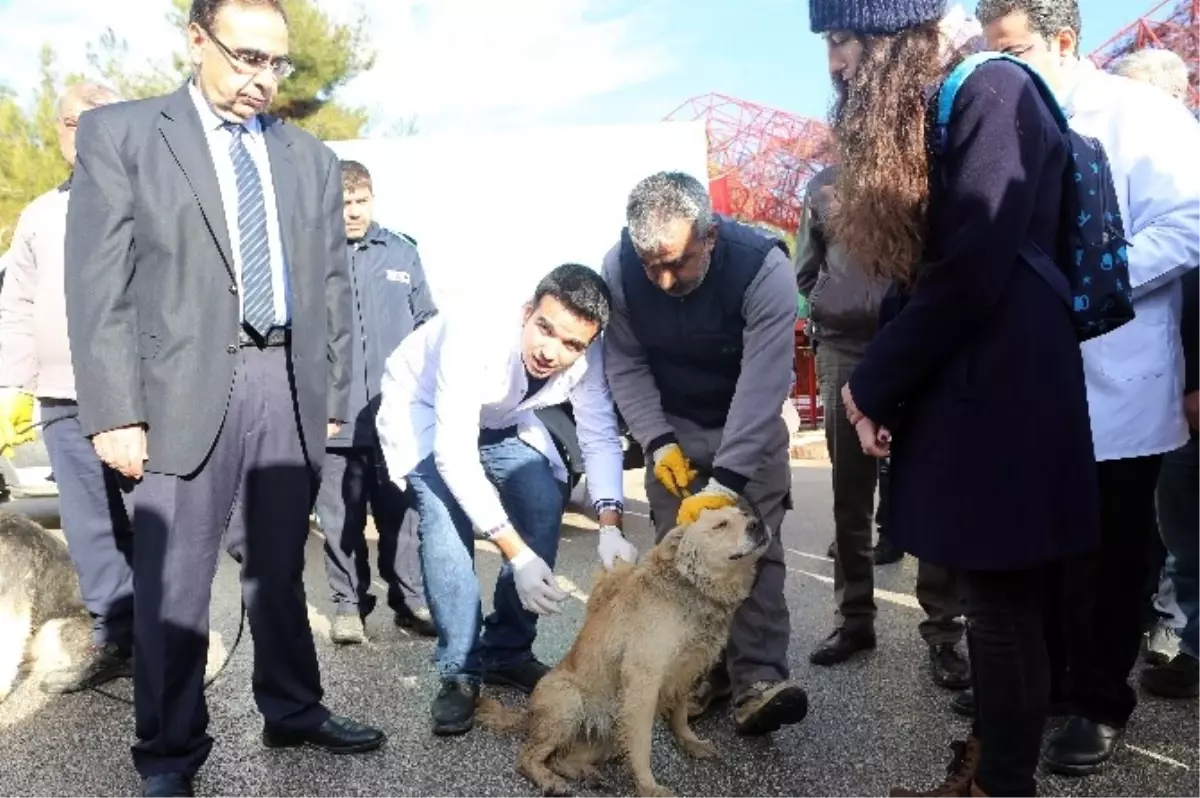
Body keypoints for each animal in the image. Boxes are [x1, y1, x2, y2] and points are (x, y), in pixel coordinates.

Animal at [477, 506, 768, 792]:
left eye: (744, 514)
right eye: (720, 525)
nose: (759, 523)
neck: (694, 591)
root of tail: (528, 715)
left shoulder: (686, 674)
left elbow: (681, 717)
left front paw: (690, 742)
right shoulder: (643, 684)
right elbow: (642, 746)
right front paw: (649, 788)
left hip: (604, 738)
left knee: (557, 757)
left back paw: (582, 773)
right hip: (569, 703)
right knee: (527, 757)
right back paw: (549, 780)